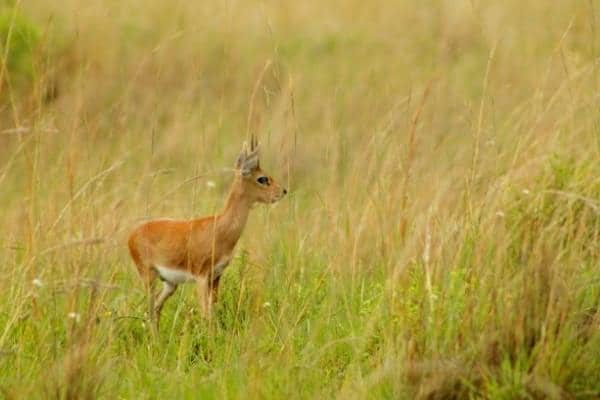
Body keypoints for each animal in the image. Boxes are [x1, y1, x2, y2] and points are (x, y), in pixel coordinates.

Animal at [126, 136, 286, 330]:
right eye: (262, 178)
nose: (283, 191)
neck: (220, 229)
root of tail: (132, 234)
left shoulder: (216, 277)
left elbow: (212, 313)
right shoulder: (201, 277)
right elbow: (205, 316)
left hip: (170, 284)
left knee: (156, 309)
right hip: (148, 276)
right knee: (149, 310)